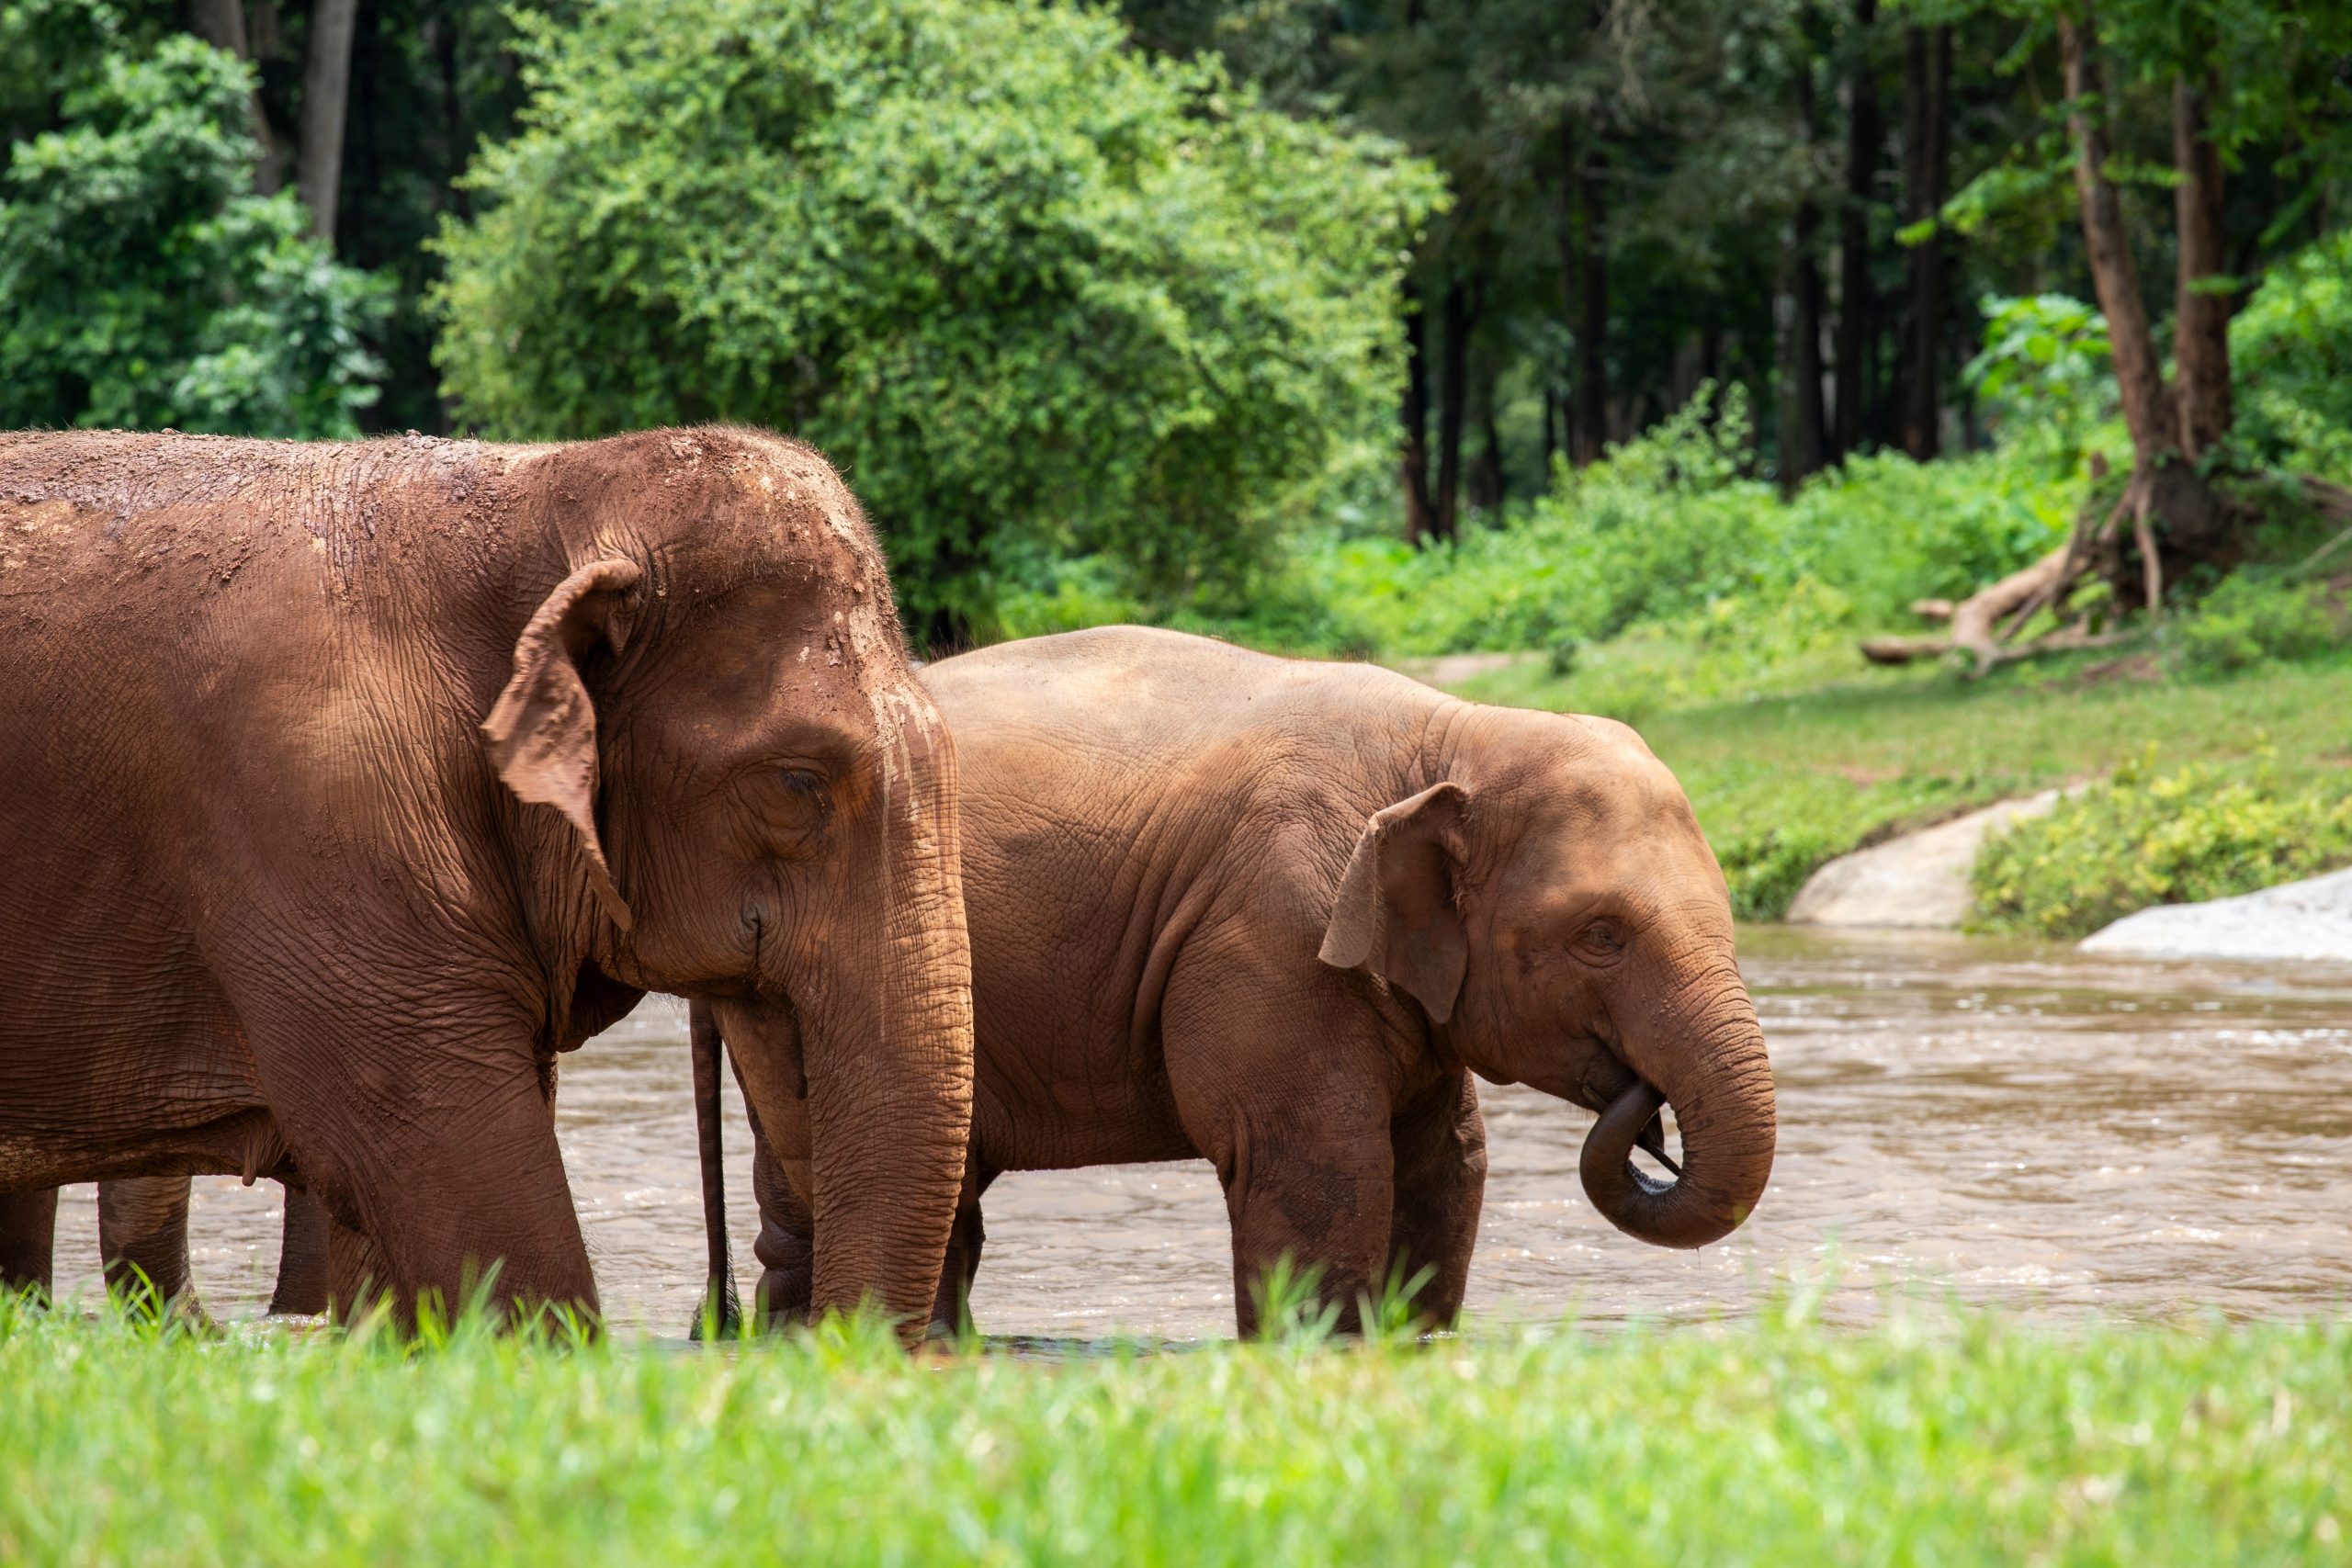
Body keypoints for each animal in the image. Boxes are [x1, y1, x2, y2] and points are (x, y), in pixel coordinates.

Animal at [694, 626, 1775, 1338]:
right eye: (1601, 935)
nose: (1644, 1105)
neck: (1451, 731)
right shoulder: (1271, 937)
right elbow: (1318, 1166)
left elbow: (1447, 1165)